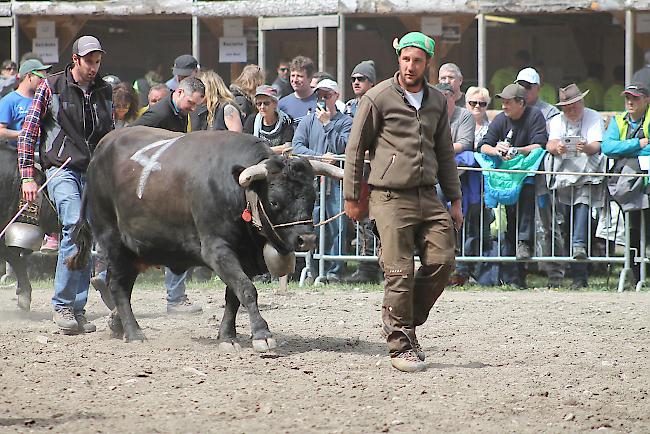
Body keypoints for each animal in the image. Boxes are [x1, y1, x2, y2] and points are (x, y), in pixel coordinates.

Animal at [67, 126, 342, 350]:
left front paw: (227, 336)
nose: (306, 240)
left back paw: (118, 324)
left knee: (120, 284)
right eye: (274, 201)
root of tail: (101, 149)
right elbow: (247, 289)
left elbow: (233, 297)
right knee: (118, 286)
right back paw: (134, 333)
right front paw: (261, 334)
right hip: (112, 239)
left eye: (312, 197)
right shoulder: (217, 249)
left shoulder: (245, 257)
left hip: (135, 249)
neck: (235, 191)